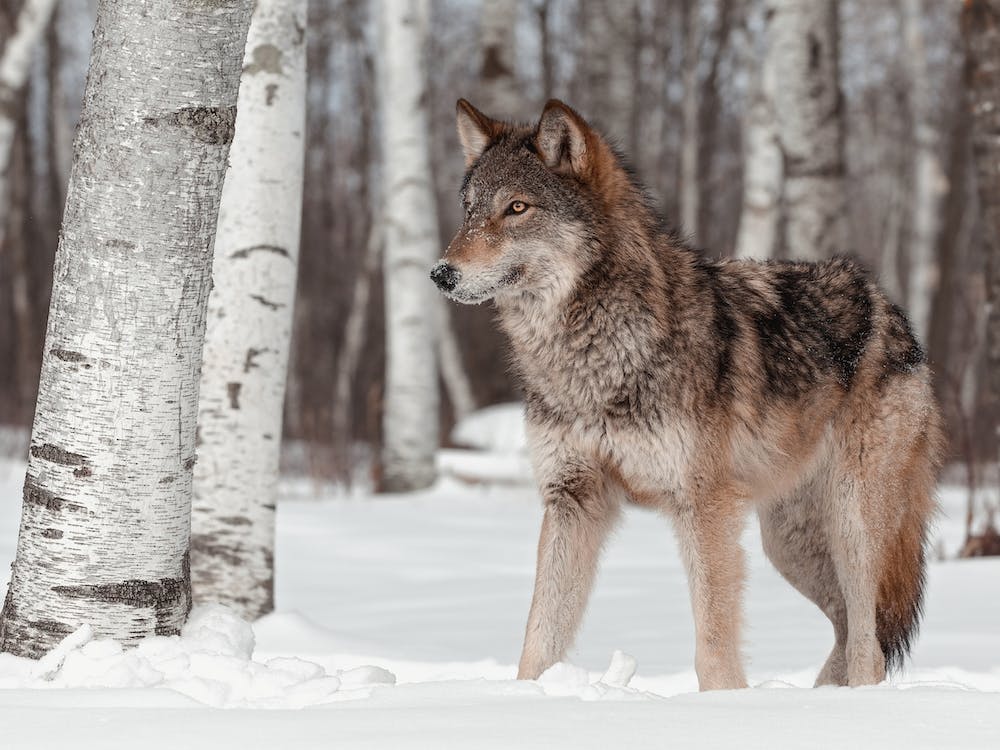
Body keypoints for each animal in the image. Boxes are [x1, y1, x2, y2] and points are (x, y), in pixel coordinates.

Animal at [430, 98, 943, 690]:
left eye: (517, 208)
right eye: (469, 210)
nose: (440, 273)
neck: (594, 356)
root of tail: (888, 304)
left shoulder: (704, 507)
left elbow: (714, 646)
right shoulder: (572, 498)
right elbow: (539, 638)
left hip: (853, 526)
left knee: (868, 643)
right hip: (787, 544)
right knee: (846, 629)